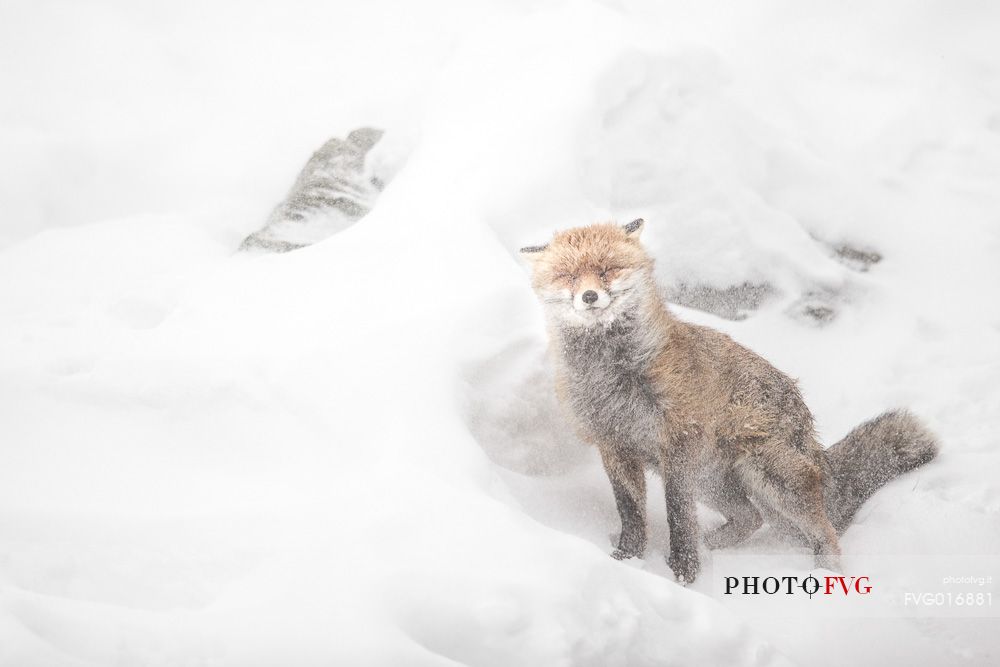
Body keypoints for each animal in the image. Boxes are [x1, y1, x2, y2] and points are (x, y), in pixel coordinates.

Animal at [520, 220, 940, 584]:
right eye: (569, 277)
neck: (613, 375)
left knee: (825, 532)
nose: (589, 296)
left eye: (607, 270)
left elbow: (677, 514)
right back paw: (713, 546)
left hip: (768, 477)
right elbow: (632, 514)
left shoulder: (678, 444)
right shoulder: (614, 445)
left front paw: (683, 570)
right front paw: (628, 560)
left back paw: (822, 574)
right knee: (750, 518)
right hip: (714, 482)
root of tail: (808, 428)